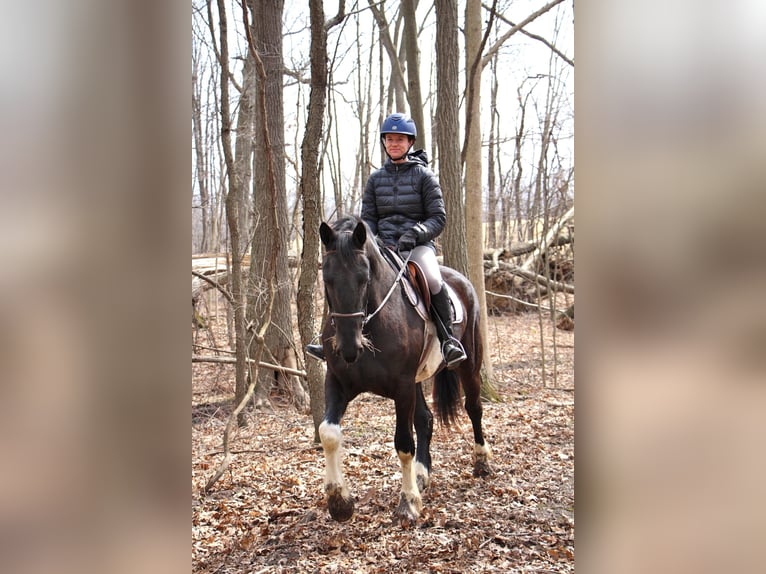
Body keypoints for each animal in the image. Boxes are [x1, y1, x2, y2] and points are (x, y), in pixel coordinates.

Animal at [316, 216, 492, 528]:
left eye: (364, 279)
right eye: (327, 280)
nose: (349, 348)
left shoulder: (402, 386)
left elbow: (403, 443)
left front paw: (408, 503)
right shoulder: (338, 381)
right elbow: (328, 433)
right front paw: (339, 502)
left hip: (468, 364)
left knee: (473, 408)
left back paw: (481, 461)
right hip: (417, 381)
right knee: (426, 419)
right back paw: (421, 475)